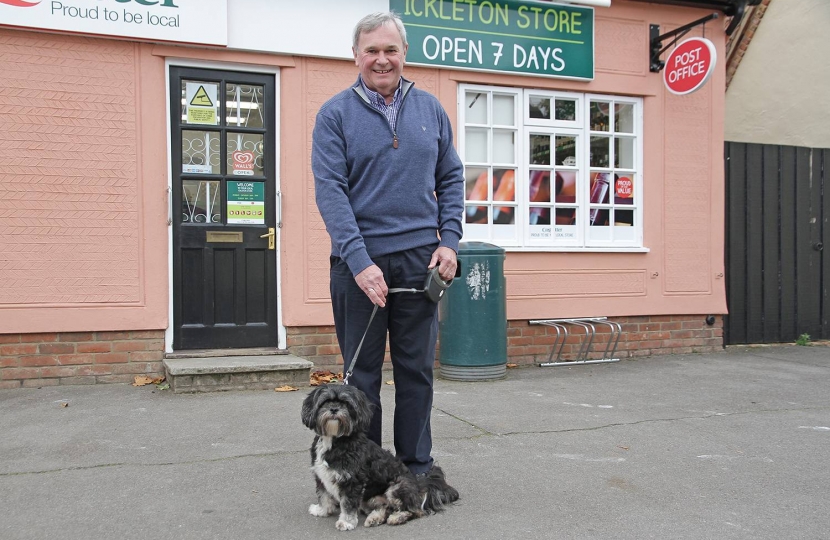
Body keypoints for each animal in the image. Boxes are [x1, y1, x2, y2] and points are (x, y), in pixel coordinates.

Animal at [300, 384, 462, 532]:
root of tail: (419, 486)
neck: (335, 440)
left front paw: (346, 522)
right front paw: (322, 510)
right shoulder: (322, 476)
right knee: (386, 507)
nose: (334, 409)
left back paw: (397, 518)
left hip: (396, 487)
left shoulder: (353, 481)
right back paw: (375, 518)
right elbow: (324, 495)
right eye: (325, 402)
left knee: (414, 511)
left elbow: (348, 504)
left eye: (346, 403)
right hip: (369, 498)